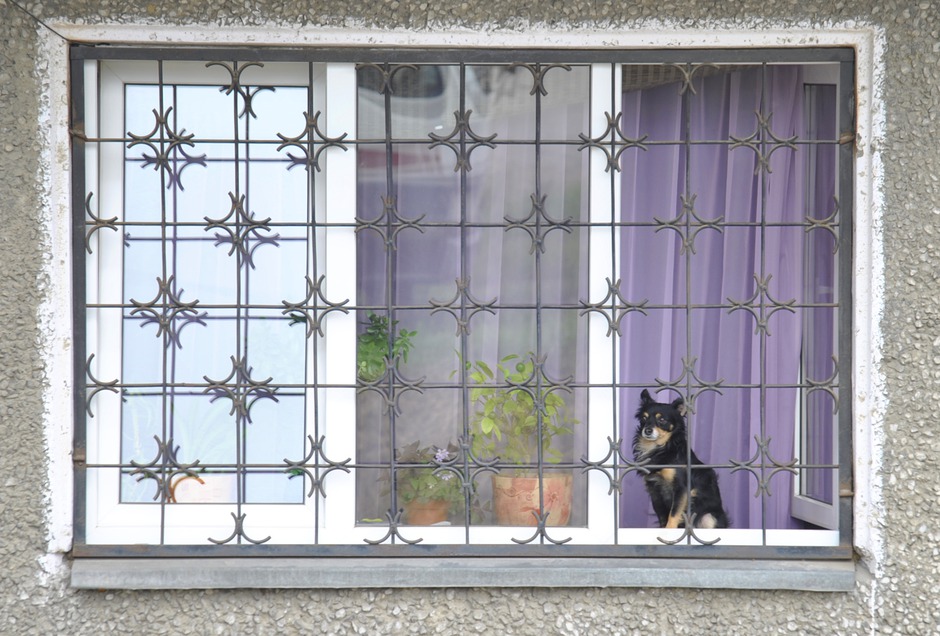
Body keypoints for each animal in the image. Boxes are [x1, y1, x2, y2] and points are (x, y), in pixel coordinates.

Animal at [636, 390, 732, 528]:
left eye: (662, 420)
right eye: (644, 418)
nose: (647, 430)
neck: (661, 448)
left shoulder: (681, 489)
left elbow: (674, 514)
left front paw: (669, 530)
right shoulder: (655, 490)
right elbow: (662, 517)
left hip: (709, 517)